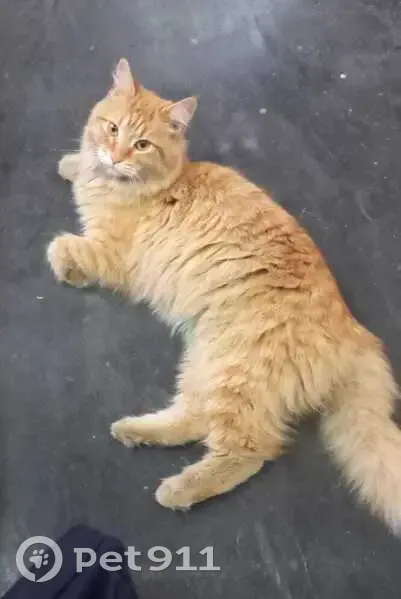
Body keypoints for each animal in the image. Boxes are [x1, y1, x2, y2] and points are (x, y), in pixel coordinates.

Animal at [47, 58, 401, 531]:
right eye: (112, 129)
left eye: (141, 144)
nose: (116, 155)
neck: (157, 184)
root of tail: (355, 330)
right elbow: (79, 165)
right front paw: (75, 163)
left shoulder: (110, 253)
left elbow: (62, 247)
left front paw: (64, 261)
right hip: (206, 359)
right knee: (195, 419)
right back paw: (135, 432)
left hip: (235, 371)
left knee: (250, 448)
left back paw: (177, 489)